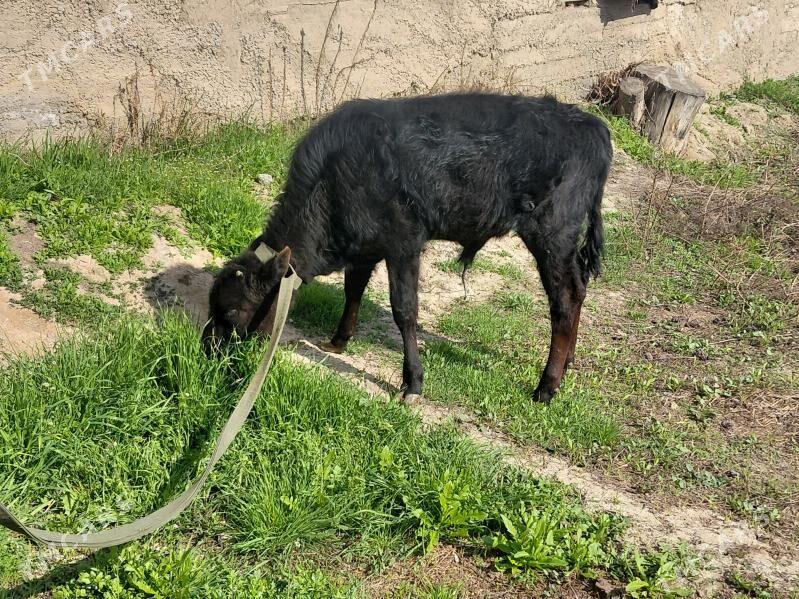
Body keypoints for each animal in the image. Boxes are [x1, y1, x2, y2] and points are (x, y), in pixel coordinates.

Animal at [203, 93, 612, 403]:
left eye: (234, 311)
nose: (209, 352)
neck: (334, 176)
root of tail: (590, 124)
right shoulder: (366, 245)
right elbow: (353, 290)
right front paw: (338, 341)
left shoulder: (404, 244)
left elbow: (404, 311)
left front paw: (412, 381)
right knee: (579, 290)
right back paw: (567, 362)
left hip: (551, 234)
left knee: (564, 301)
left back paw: (547, 386)